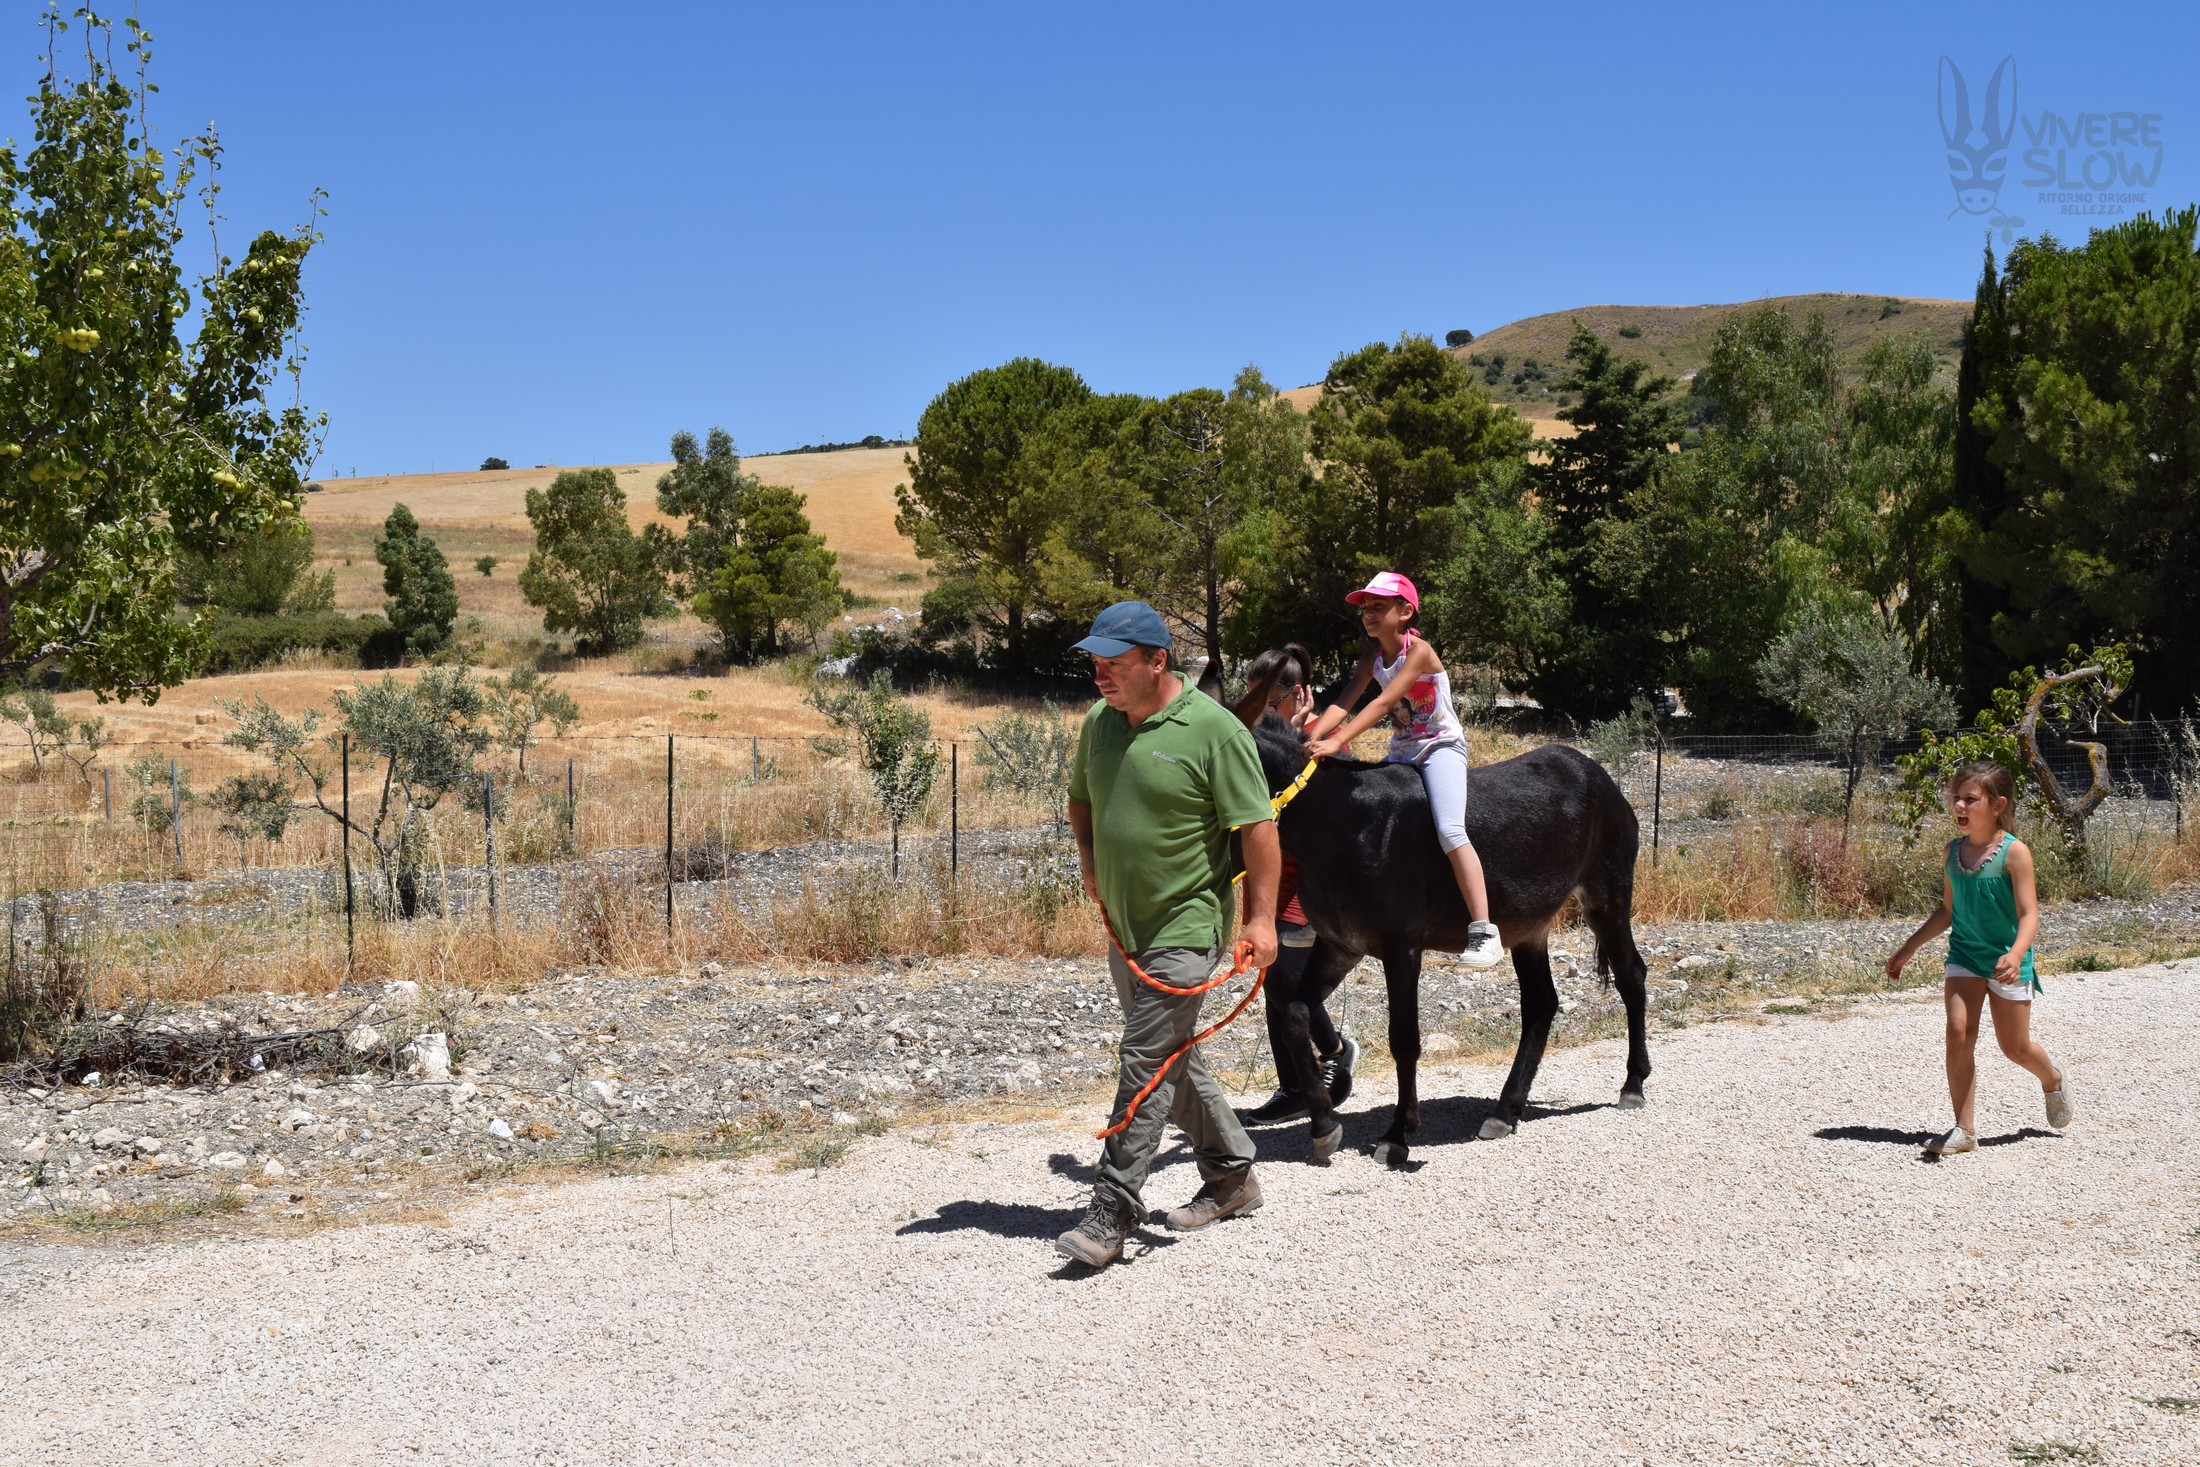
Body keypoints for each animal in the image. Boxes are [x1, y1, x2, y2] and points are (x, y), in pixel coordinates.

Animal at [1239, 706, 1650, 1166]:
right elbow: (1294, 1017)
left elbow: (1404, 1041)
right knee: (1541, 1004)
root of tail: (1594, 769)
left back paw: (1633, 1085)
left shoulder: (1401, 950)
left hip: (1606, 901)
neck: (1345, 828)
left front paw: (1397, 1135)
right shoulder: (1339, 947)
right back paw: (1504, 1112)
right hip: (1530, 927)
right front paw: (1324, 1124)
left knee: (1631, 978)